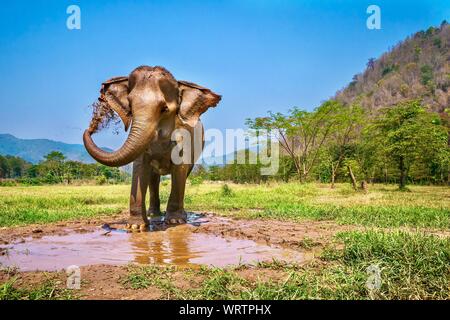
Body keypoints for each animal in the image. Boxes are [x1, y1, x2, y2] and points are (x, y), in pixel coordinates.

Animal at [83, 65, 221, 230]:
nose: (91, 128)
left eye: (164, 109)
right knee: (153, 179)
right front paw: (135, 227)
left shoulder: (184, 136)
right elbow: (140, 167)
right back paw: (153, 214)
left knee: (183, 174)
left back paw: (180, 215)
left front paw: (175, 221)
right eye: (130, 106)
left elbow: (179, 169)